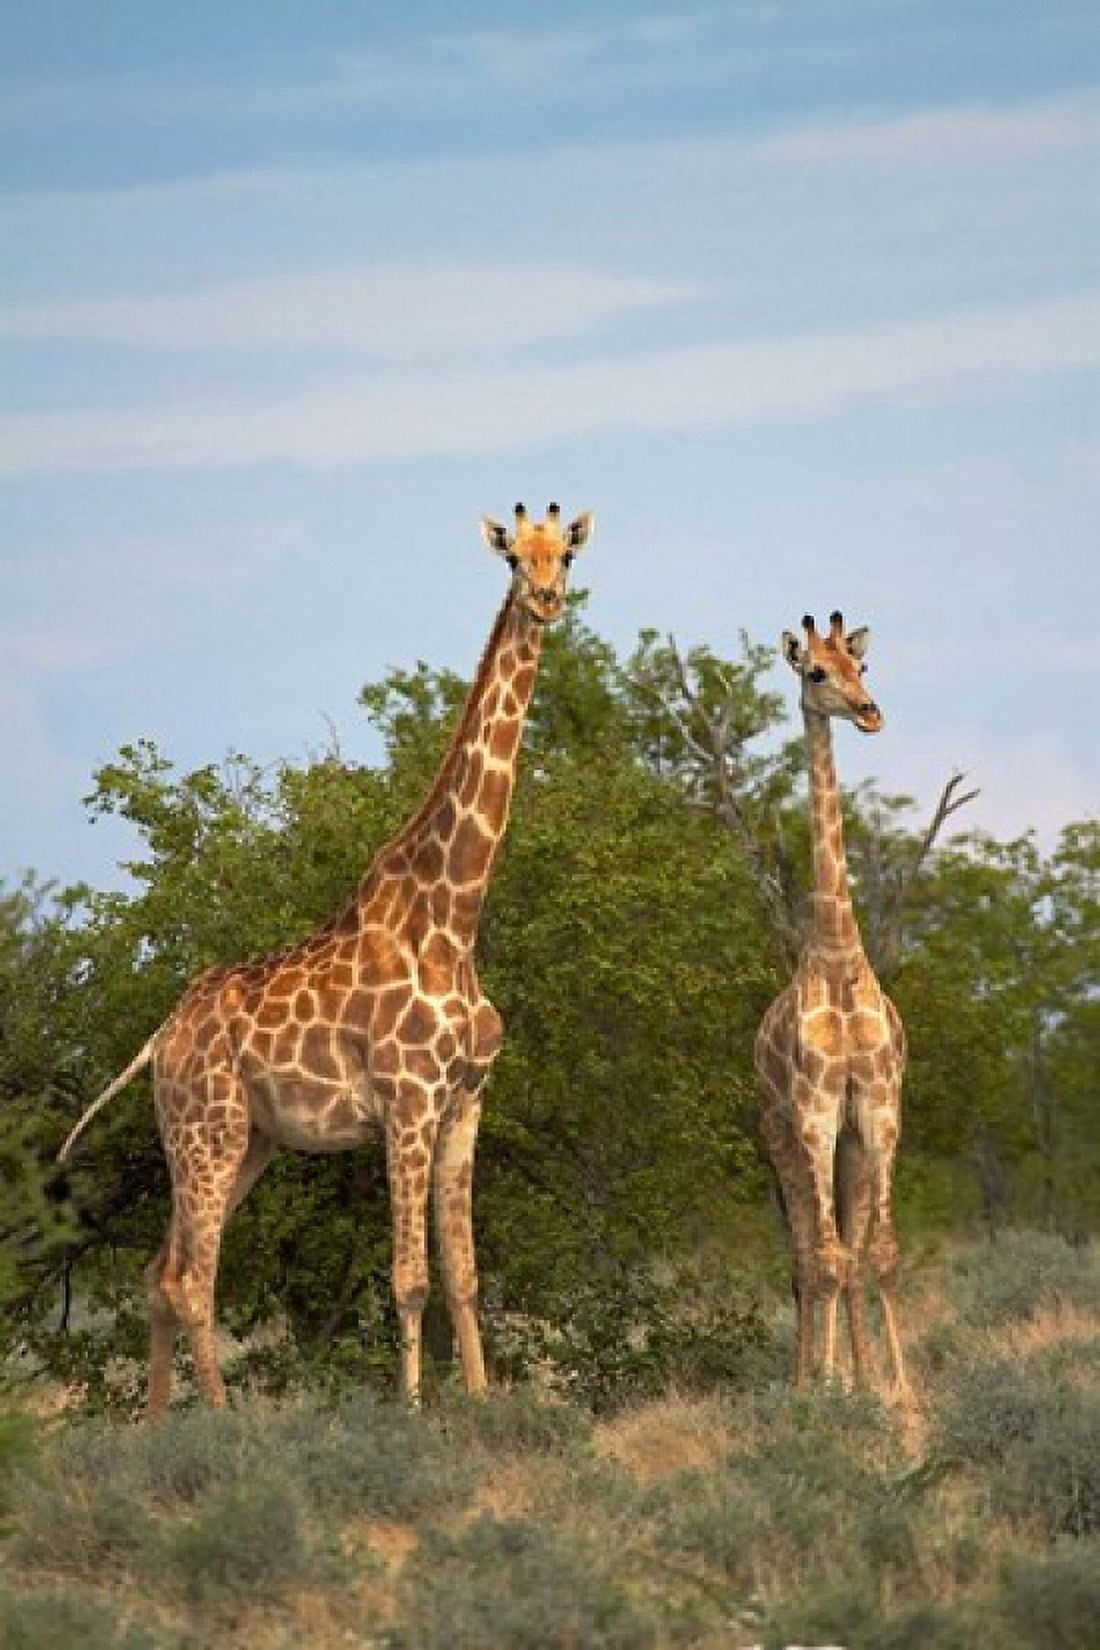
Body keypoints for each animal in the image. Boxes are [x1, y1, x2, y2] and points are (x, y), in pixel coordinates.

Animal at [59, 502, 594, 1416]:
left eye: (567, 554)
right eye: (511, 558)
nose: (548, 598)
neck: (454, 920)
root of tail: (161, 1038)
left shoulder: (465, 1105)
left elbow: (466, 1277)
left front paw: (484, 1405)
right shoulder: (408, 1104)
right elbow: (410, 1278)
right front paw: (411, 1413)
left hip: (245, 1139)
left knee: (160, 1272)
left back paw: (157, 1426)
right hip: (206, 1130)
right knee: (193, 1278)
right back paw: (220, 1423)